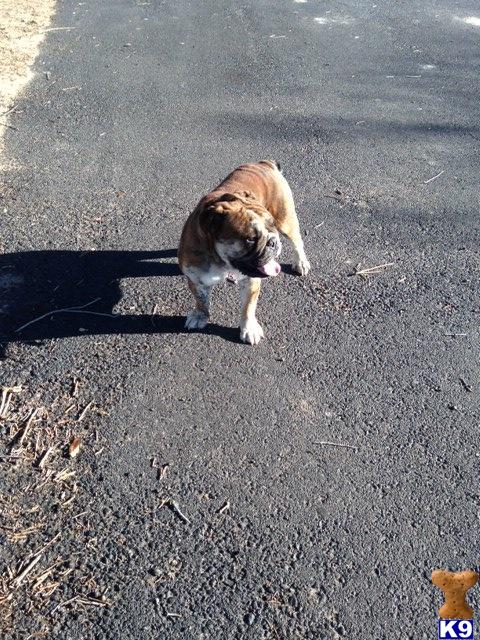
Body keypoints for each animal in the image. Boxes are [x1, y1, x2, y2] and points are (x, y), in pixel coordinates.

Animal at [178, 162, 310, 348]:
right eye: (250, 238)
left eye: (271, 225)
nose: (272, 241)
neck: (222, 262)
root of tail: (264, 163)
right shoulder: (196, 279)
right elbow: (201, 300)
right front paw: (200, 316)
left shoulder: (251, 282)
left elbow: (248, 308)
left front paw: (249, 329)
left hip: (286, 220)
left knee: (297, 242)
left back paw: (301, 263)